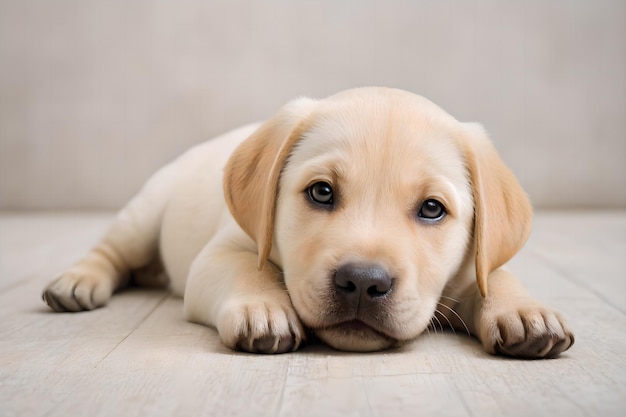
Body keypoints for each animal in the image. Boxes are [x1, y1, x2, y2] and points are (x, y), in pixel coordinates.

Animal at [41, 86, 572, 356]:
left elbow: (495, 273)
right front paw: (264, 307)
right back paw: (77, 283)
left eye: (432, 208)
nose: (363, 283)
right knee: (110, 252)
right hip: (145, 212)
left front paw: (524, 311)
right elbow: (248, 267)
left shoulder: (468, 268)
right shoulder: (219, 255)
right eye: (321, 192)